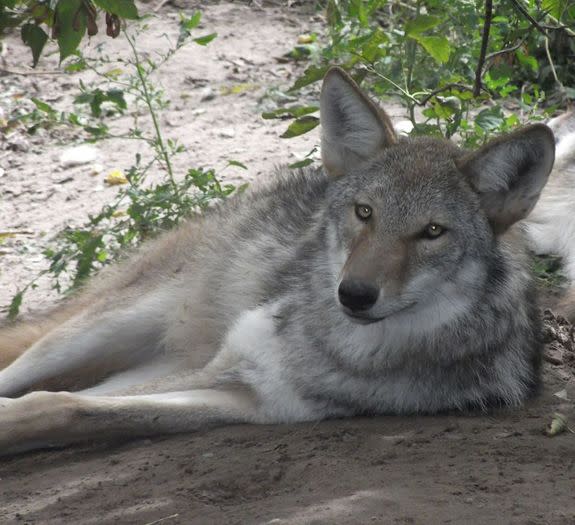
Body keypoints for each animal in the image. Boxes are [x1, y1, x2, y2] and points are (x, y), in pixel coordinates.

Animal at [0, 66, 568, 454]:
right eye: (365, 213)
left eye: (432, 232)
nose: (354, 294)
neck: (341, 347)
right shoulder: (227, 363)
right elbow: (48, 399)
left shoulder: (250, 398)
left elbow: (67, 407)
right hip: (99, 329)